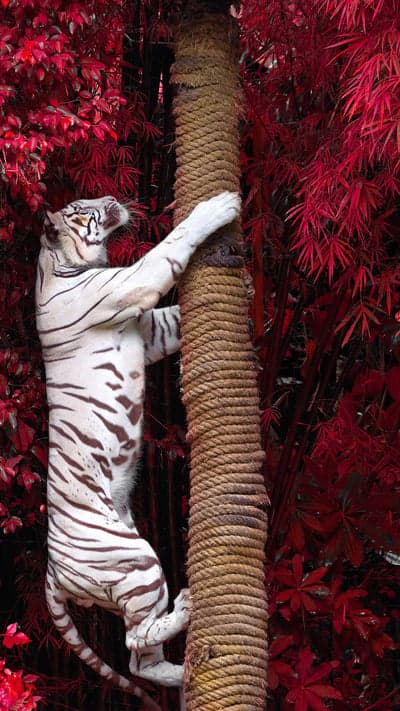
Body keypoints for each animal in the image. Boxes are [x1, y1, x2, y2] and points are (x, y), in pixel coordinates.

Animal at [35, 192, 240, 704]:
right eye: (83, 209)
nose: (110, 197)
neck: (58, 264)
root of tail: (50, 573)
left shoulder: (150, 330)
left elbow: (175, 317)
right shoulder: (132, 283)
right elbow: (172, 245)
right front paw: (219, 207)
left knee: (138, 660)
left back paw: (180, 672)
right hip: (136, 563)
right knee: (131, 645)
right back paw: (186, 610)